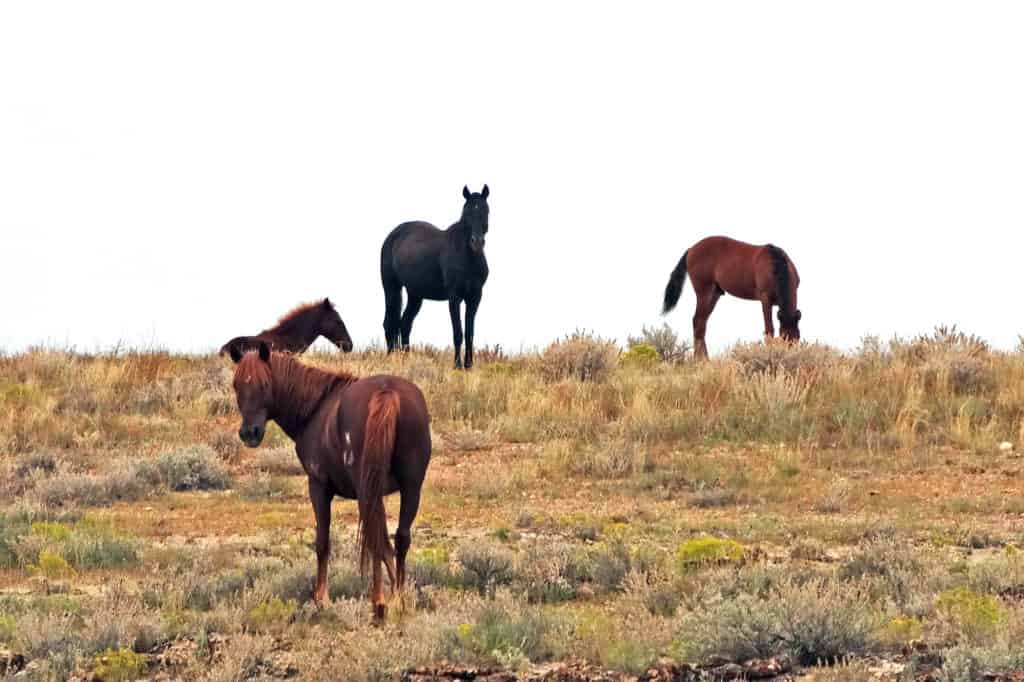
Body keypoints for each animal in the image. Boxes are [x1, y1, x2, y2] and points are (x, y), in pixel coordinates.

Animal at [228, 341, 431, 621]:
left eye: (265, 384)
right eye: (236, 385)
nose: (250, 433)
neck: (316, 408)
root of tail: (387, 391)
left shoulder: (318, 487)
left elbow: (322, 542)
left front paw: (321, 598)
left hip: (368, 489)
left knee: (375, 537)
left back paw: (378, 602)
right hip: (411, 488)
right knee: (399, 538)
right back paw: (396, 598)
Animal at [380, 184, 490, 369]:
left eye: (485, 210)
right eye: (467, 212)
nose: (477, 242)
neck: (467, 258)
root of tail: (392, 236)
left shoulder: (475, 297)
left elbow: (470, 333)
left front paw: (469, 366)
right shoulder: (454, 298)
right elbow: (458, 332)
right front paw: (457, 366)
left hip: (415, 295)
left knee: (405, 323)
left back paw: (406, 358)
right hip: (391, 288)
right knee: (390, 322)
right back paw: (391, 358)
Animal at [662, 236, 801, 359]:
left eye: (797, 338)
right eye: (784, 338)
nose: (792, 355)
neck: (775, 265)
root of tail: (691, 249)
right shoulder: (765, 300)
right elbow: (769, 330)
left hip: (714, 294)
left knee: (701, 323)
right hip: (704, 292)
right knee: (698, 321)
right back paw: (700, 360)